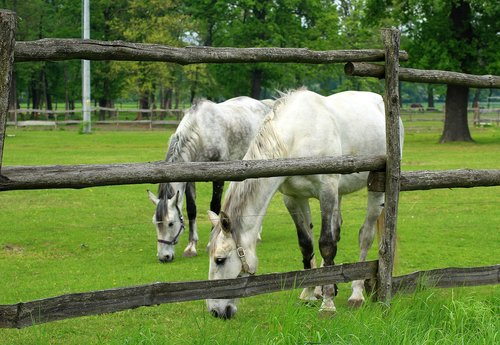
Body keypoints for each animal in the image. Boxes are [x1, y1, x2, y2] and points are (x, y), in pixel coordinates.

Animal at [147, 95, 272, 262]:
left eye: (171, 223)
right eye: (155, 222)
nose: (163, 257)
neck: (201, 133)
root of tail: (263, 105)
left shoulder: (218, 177)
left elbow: (214, 207)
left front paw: (210, 243)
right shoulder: (190, 179)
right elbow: (191, 210)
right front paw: (191, 247)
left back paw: (257, 235)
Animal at [205, 88, 404, 318]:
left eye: (220, 259)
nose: (216, 311)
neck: (295, 137)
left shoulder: (326, 191)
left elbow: (326, 244)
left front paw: (328, 303)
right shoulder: (294, 198)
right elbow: (306, 244)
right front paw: (310, 292)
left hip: (374, 192)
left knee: (365, 236)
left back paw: (356, 293)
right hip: (338, 193)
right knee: (337, 230)